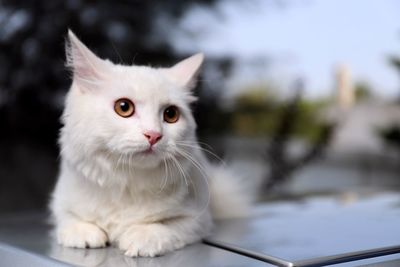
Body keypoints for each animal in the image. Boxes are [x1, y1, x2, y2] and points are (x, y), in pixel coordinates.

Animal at [49, 30, 250, 258]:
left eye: (171, 114)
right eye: (124, 107)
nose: (153, 135)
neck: (128, 182)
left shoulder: (198, 219)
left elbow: (166, 226)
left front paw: (142, 237)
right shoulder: (60, 202)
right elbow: (68, 218)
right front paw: (84, 233)